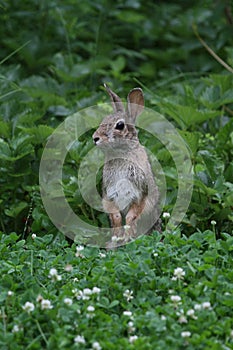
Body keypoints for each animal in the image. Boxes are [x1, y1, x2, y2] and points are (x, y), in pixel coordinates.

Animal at [92, 83, 160, 246]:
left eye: (120, 125)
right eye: (104, 119)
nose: (95, 138)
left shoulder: (140, 194)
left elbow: (131, 217)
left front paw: (127, 237)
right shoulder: (109, 195)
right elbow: (116, 216)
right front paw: (118, 236)